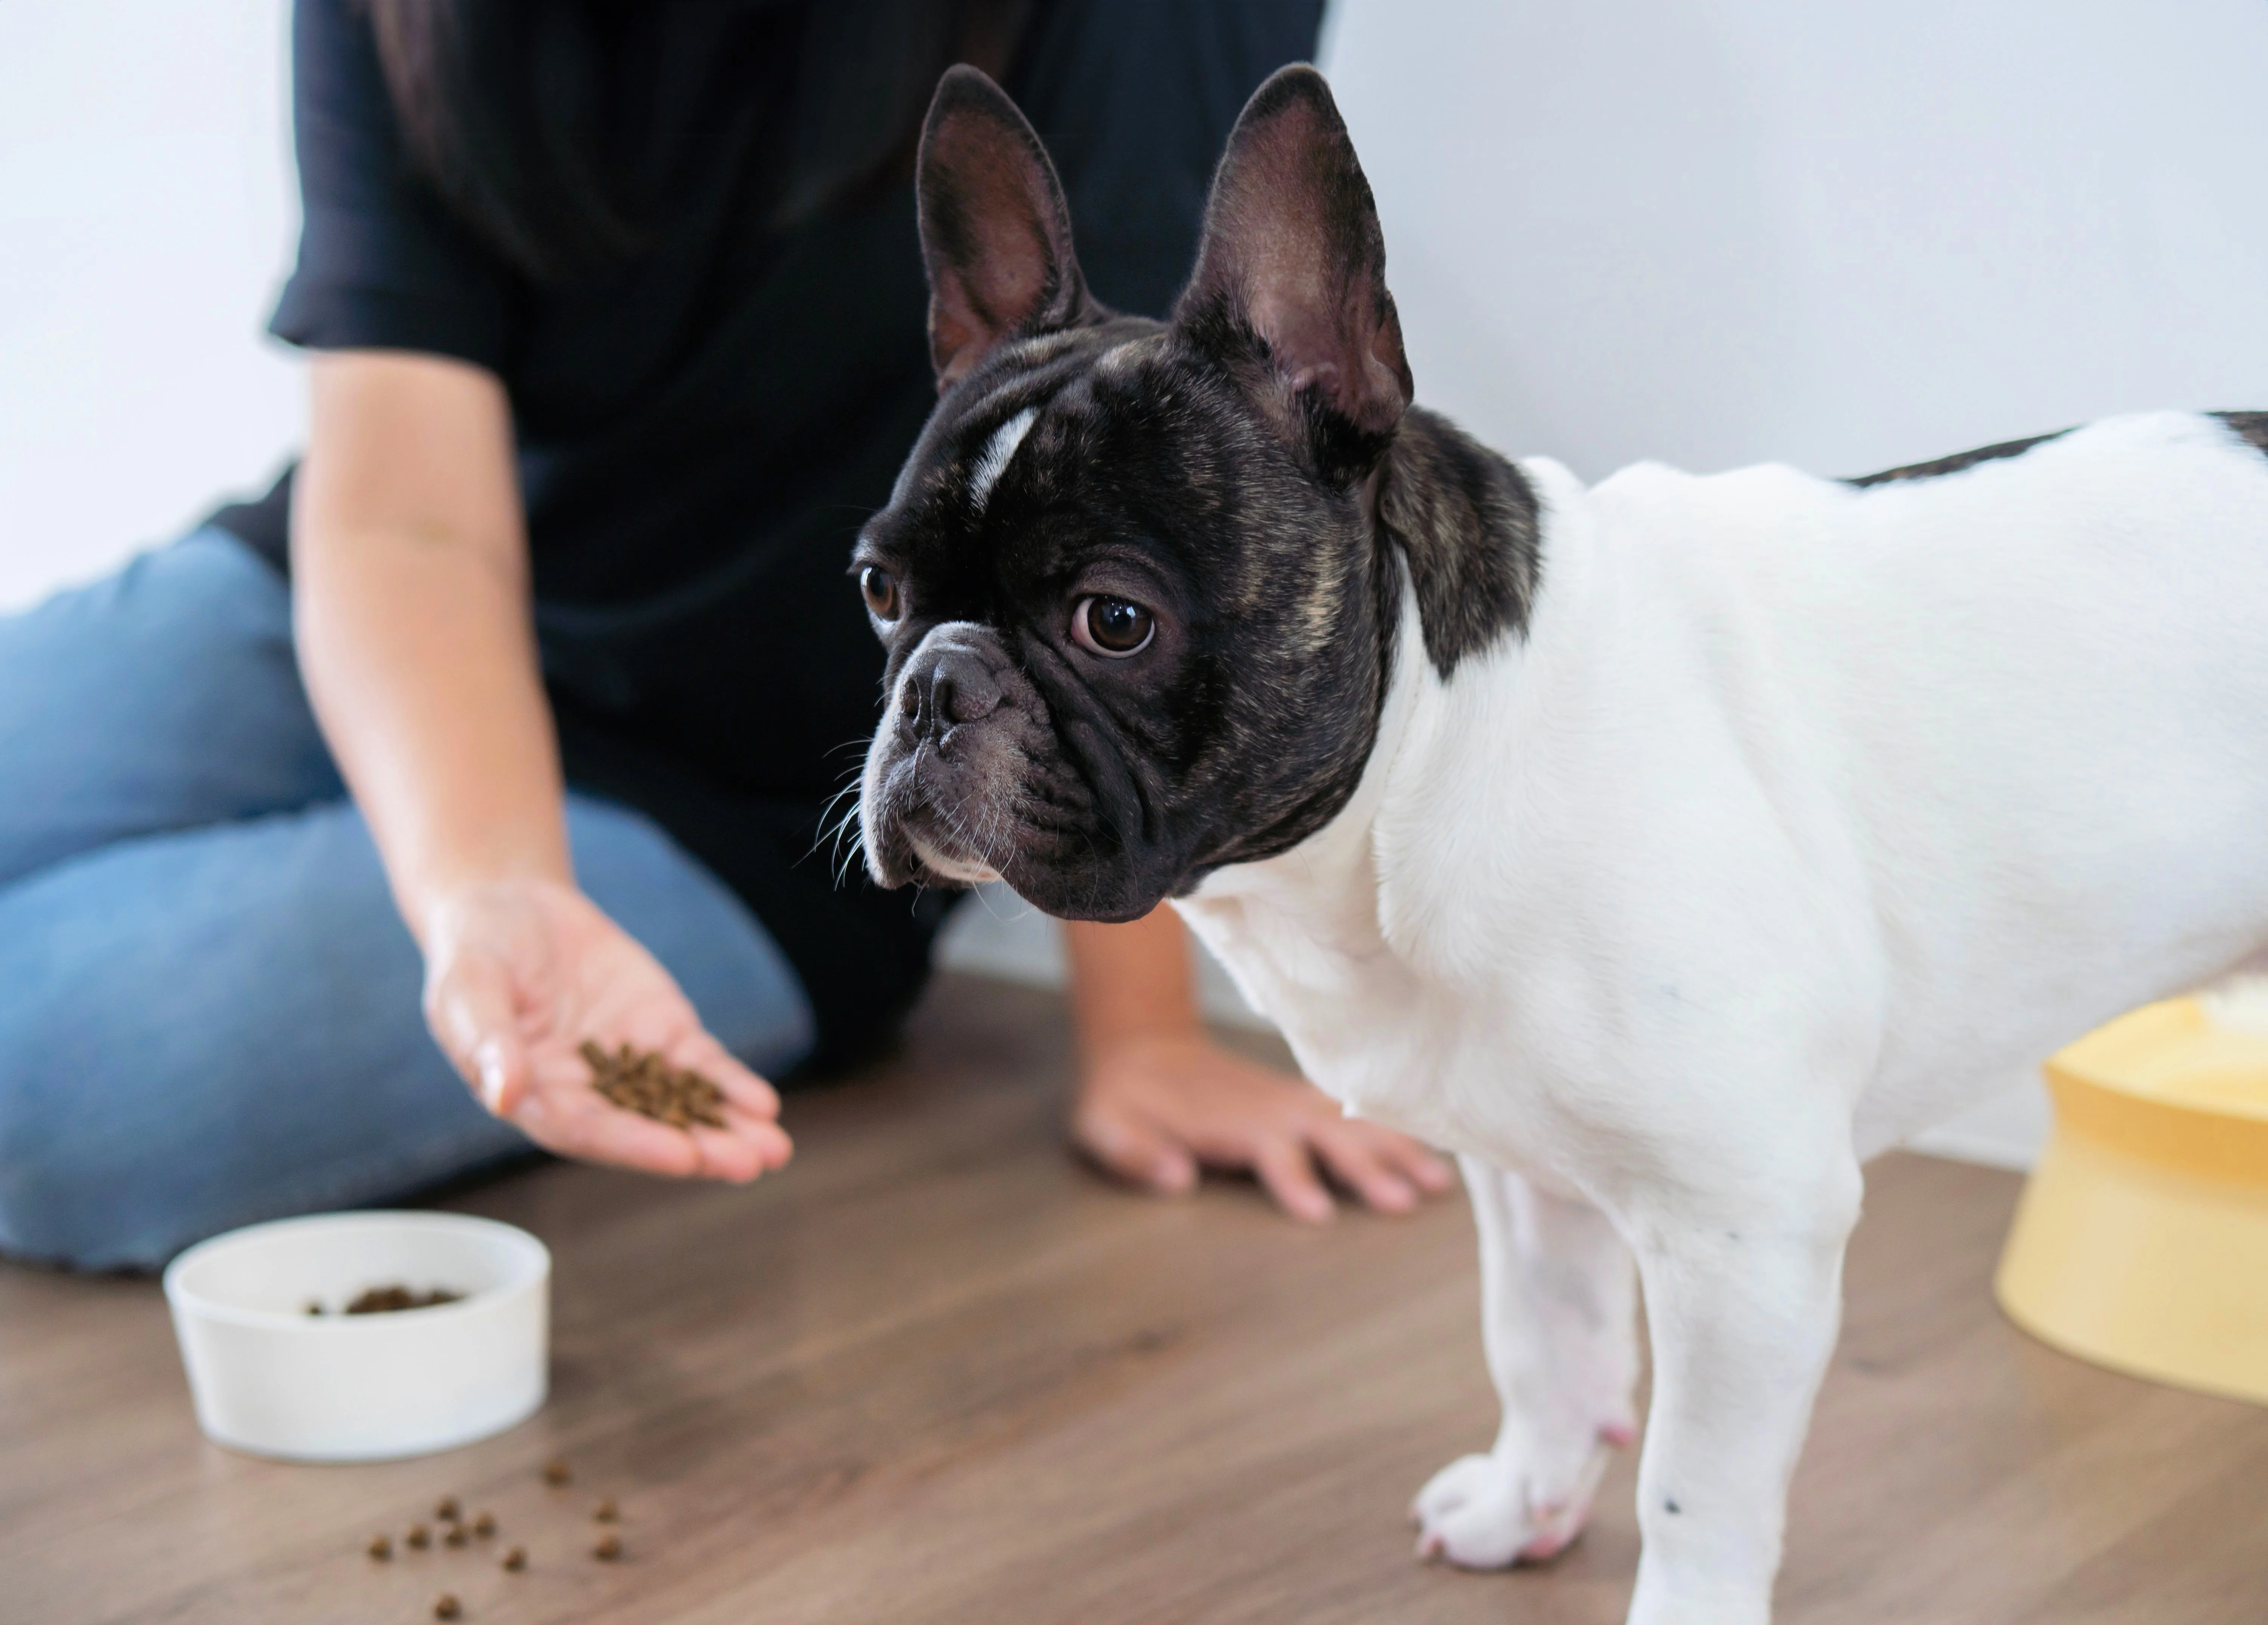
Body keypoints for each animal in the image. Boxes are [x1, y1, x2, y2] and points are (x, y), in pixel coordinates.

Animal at [853, 60, 2268, 1614]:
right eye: (878, 591)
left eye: (1113, 618)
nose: (938, 685)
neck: (1433, 754)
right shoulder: (1527, 1166)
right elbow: (1539, 1339)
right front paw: (1525, 1496)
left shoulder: (1743, 1223)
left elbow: (1694, 1486)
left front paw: (1678, 1595)